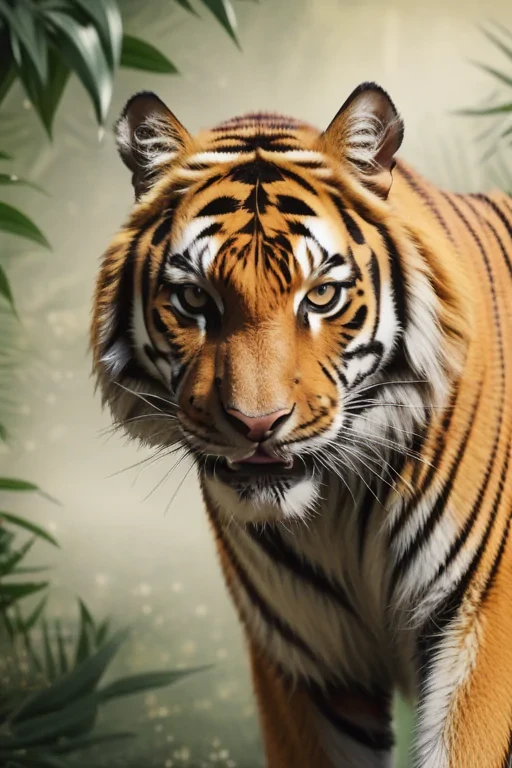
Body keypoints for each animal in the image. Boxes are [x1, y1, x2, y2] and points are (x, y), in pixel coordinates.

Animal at [91, 82, 512, 767]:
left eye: (321, 296)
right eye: (195, 298)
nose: (257, 423)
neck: (339, 510)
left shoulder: (483, 624)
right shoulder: (306, 662)